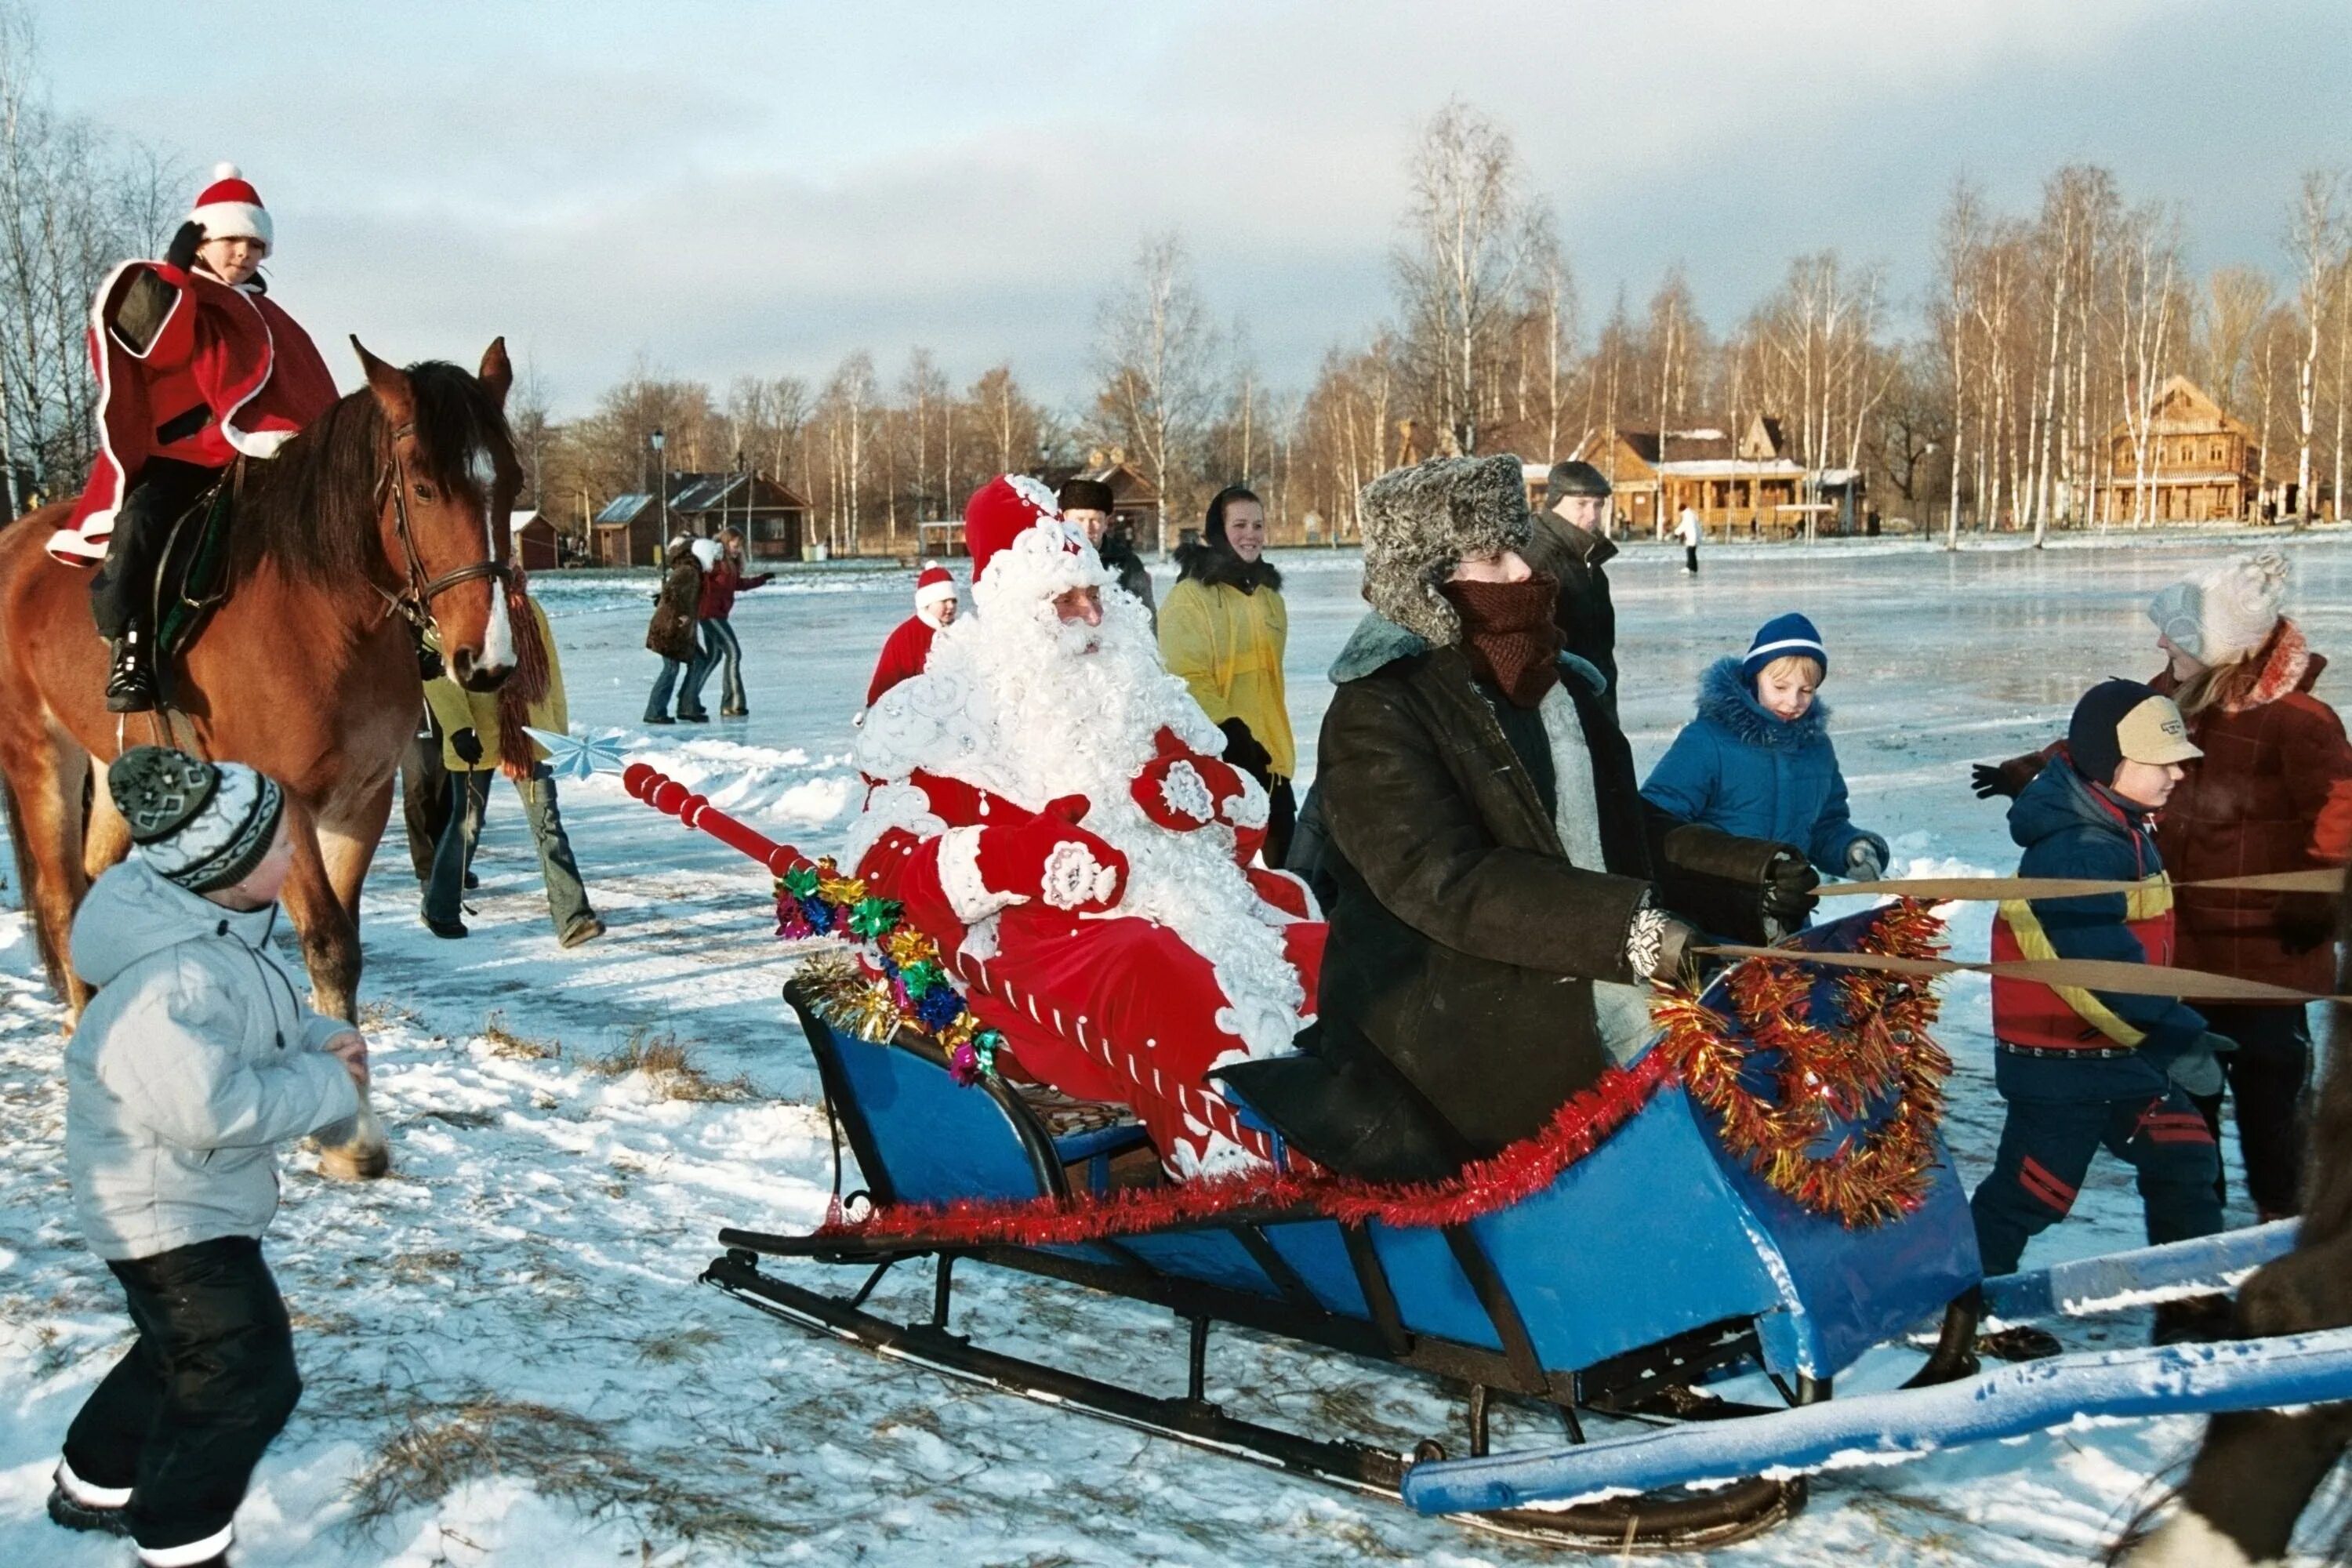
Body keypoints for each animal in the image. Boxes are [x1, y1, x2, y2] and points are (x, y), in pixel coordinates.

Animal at [0, 343, 520, 1175]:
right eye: (425, 486)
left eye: (512, 480)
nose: (488, 659)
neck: (324, 610)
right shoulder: (290, 800)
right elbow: (329, 944)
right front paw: (352, 1135)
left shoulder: (362, 802)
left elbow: (341, 951)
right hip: (40, 756)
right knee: (60, 897)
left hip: (119, 769)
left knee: (96, 881)